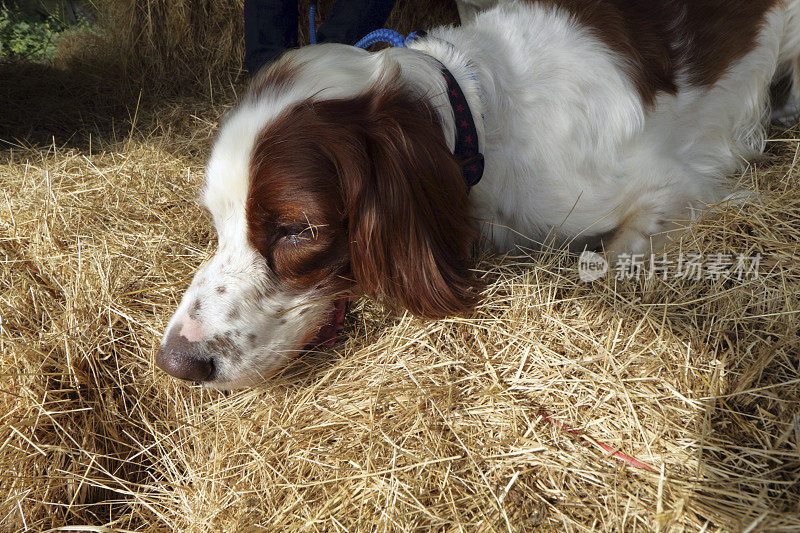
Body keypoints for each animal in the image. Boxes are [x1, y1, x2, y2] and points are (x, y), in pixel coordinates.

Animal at [155, 0, 800, 386]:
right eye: (217, 221)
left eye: (298, 229)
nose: (175, 361)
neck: (483, 116)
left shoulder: (682, 178)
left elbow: (614, 251)